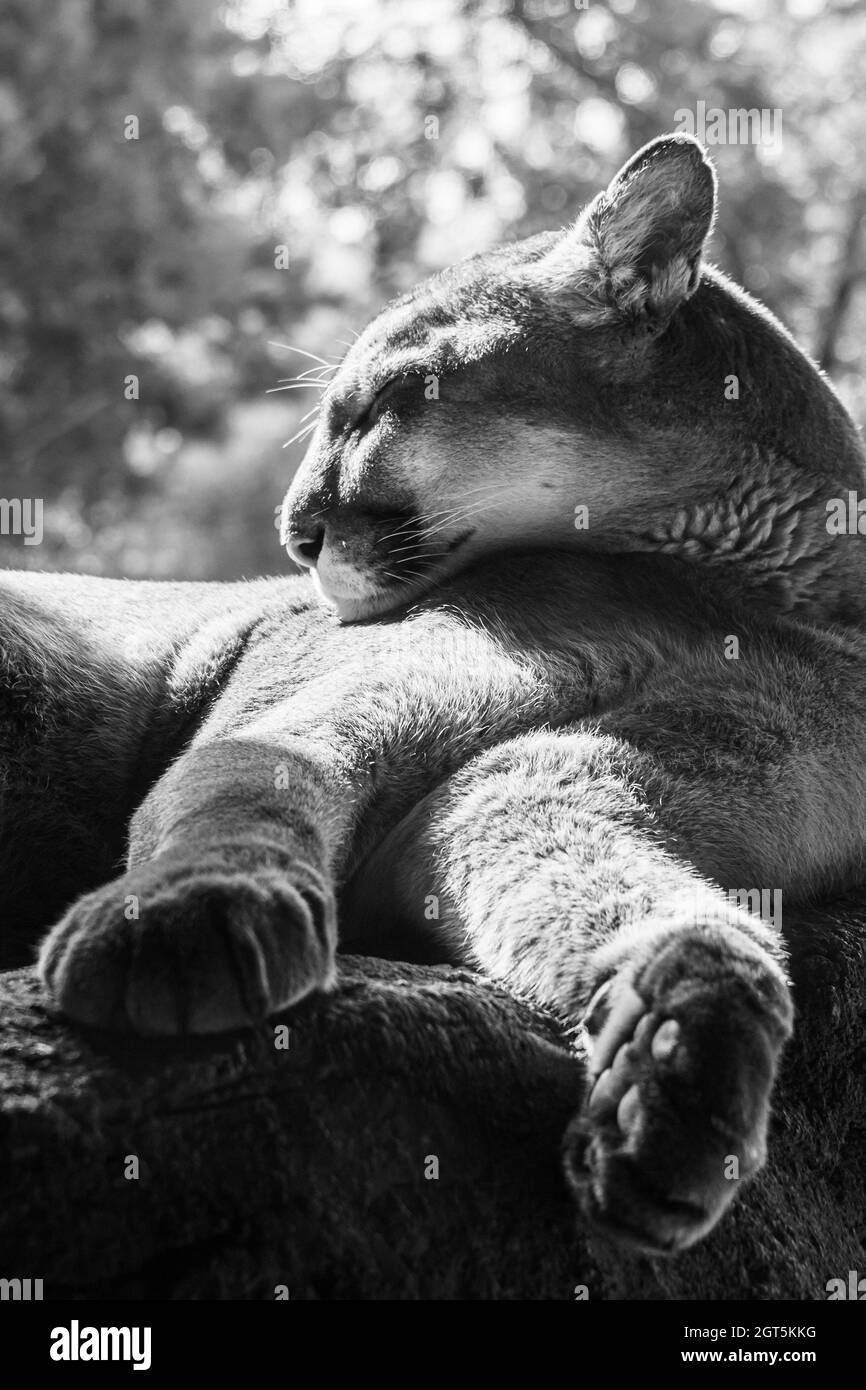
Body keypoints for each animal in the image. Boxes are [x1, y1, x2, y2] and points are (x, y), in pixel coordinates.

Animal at [1, 135, 866, 1256]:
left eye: (387, 402)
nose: (294, 533)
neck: (732, 585)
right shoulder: (361, 712)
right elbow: (256, 777)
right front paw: (189, 908)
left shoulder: (540, 781)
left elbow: (675, 916)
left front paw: (672, 1085)